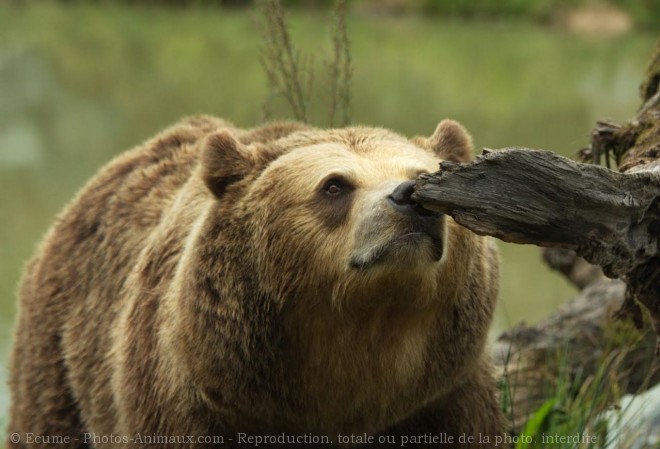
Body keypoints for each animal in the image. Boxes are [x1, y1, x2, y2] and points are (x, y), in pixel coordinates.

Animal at [6, 114, 500, 444]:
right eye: (334, 185)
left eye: (425, 177)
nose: (409, 201)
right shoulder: (193, 405)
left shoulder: (440, 401)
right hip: (61, 359)